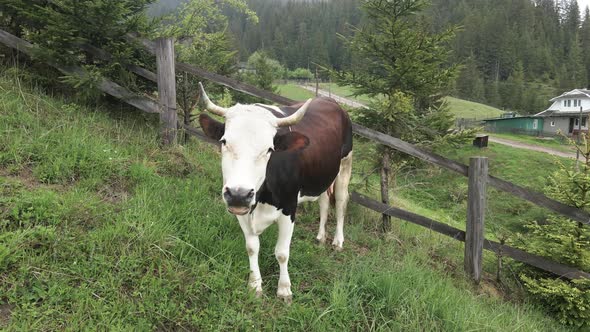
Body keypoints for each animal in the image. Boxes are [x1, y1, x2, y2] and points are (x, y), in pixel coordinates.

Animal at [199, 82, 352, 300]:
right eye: (224, 142)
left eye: (269, 149)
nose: (238, 194)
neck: (262, 198)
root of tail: (330, 101)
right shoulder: (242, 211)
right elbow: (252, 248)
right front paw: (255, 284)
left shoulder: (289, 208)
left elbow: (281, 252)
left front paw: (284, 289)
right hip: (323, 174)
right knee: (323, 201)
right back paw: (321, 237)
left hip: (346, 164)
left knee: (340, 201)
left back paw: (338, 241)